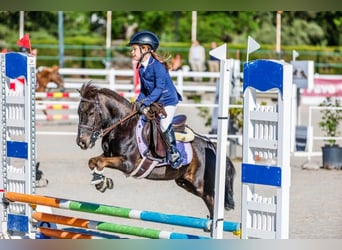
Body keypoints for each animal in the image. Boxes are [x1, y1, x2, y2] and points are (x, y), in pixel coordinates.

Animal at [75, 82, 235, 219]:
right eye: (78, 112)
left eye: (91, 113)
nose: (82, 142)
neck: (122, 125)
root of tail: (211, 145)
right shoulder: (109, 155)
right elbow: (94, 161)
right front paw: (101, 181)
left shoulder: (127, 164)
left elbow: (100, 162)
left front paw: (101, 182)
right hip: (186, 182)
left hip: (201, 185)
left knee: (212, 201)